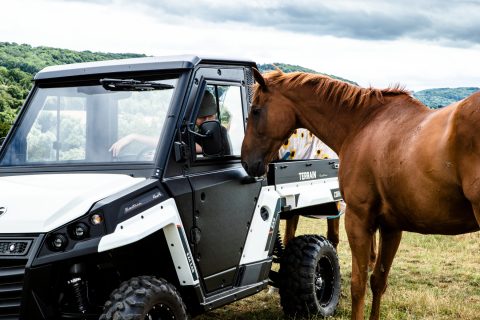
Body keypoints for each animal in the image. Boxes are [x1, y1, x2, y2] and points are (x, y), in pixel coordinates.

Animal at [244, 69, 480, 318]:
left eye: (256, 110)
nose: (247, 161)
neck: (364, 124)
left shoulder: (357, 220)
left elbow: (358, 285)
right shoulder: (391, 227)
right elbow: (378, 281)